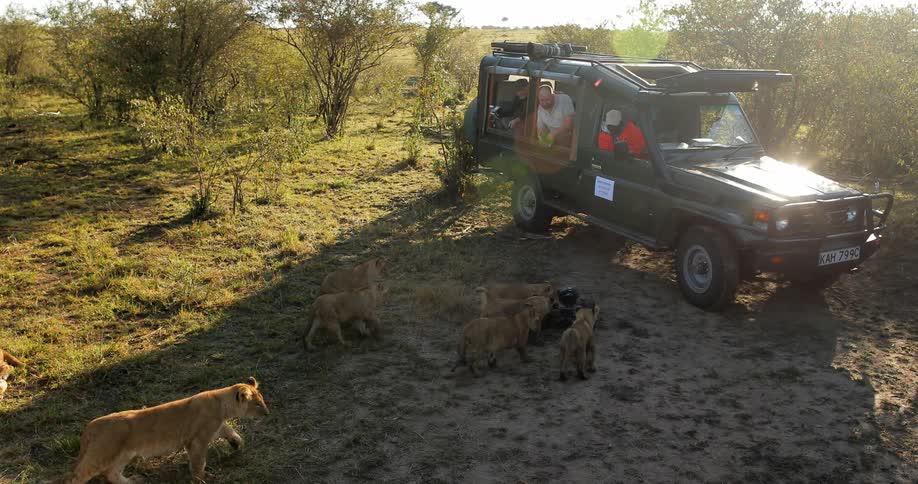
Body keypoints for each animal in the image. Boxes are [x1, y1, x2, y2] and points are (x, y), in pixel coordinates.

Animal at [65, 377, 268, 484]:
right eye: (258, 404)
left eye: (262, 400)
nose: (267, 412)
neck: (221, 403)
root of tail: (90, 426)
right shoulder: (197, 439)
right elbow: (198, 462)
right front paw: (201, 478)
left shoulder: (215, 426)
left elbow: (229, 430)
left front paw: (237, 444)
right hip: (103, 452)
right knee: (78, 475)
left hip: (123, 454)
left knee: (110, 473)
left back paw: (133, 481)